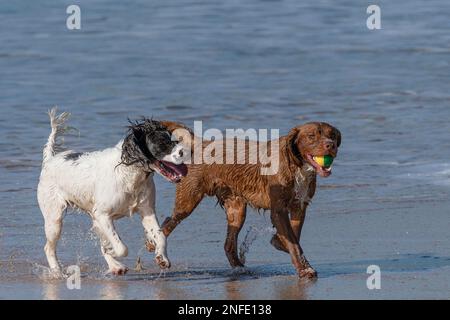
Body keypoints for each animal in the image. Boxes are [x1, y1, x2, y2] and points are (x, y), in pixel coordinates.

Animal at [36, 109, 188, 276]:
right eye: (162, 143)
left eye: (174, 140)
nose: (185, 151)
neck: (129, 173)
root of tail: (50, 159)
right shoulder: (102, 215)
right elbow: (121, 248)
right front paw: (112, 251)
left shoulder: (147, 211)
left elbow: (160, 236)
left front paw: (162, 258)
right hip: (54, 219)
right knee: (48, 248)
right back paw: (57, 272)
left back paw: (115, 266)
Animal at [151, 120, 342, 278]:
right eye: (311, 136)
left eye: (332, 135)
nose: (330, 145)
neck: (297, 165)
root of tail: (202, 143)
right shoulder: (278, 209)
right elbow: (293, 242)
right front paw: (304, 268)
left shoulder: (300, 205)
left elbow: (295, 234)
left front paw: (279, 242)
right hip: (189, 199)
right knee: (169, 222)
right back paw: (155, 249)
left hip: (236, 208)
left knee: (228, 244)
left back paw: (240, 268)